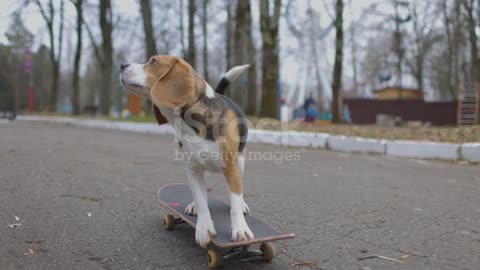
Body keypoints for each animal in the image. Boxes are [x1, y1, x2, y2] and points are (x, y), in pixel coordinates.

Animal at [120, 56, 253, 248]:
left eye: (153, 61)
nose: (122, 65)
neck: (189, 125)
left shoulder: (231, 167)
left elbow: (235, 200)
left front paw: (240, 230)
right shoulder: (193, 169)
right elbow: (201, 200)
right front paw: (203, 228)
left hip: (240, 163)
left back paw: (242, 206)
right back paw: (194, 205)